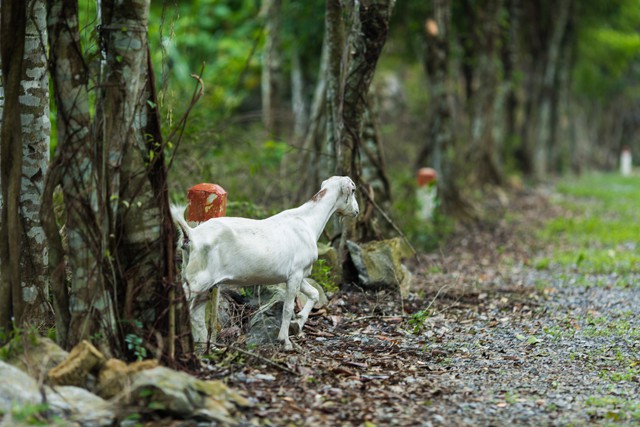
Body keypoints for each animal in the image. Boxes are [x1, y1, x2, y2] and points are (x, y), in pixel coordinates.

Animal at [172, 176, 358, 352]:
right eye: (354, 190)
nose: (356, 211)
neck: (307, 222)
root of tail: (191, 235)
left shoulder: (298, 274)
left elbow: (314, 294)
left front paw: (298, 323)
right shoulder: (295, 274)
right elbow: (288, 308)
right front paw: (285, 341)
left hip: (202, 281)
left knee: (196, 314)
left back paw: (209, 347)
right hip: (197, 279)